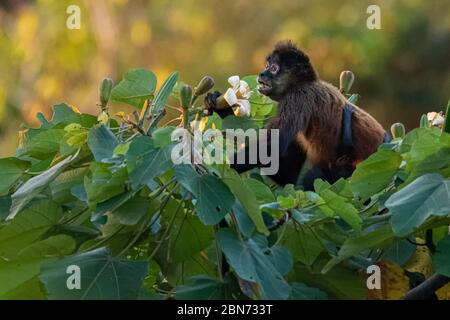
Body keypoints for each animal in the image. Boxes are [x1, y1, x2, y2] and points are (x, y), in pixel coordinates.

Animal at [206, 40, 388, 190]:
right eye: (267, 66)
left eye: (273, 68)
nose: (262, 73)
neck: (303, 83)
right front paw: (219, 104)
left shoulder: (297, 98)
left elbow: (274, 145)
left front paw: (218, 169)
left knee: (314, 176)